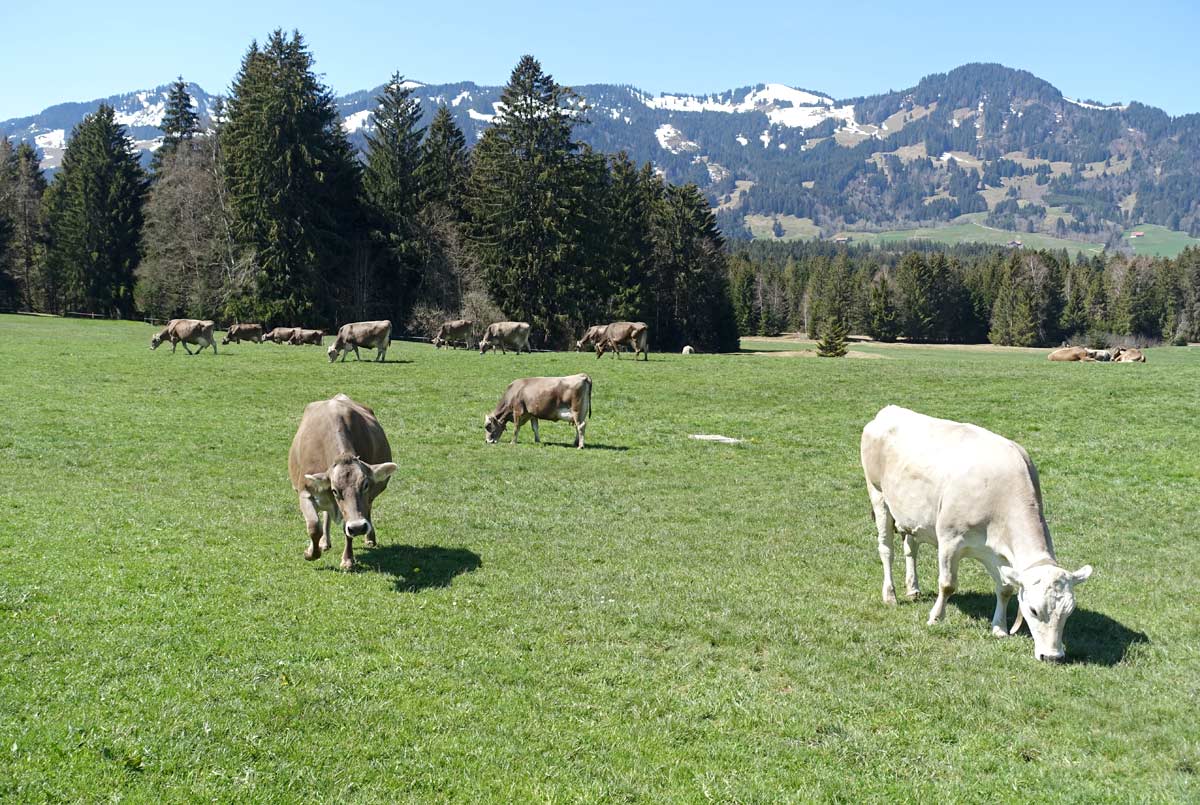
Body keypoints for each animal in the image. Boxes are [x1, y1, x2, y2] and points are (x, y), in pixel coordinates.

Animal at [287, 394, 398, 570]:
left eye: (365, 485)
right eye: (334, 490)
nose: (359, 527)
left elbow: (347, 530)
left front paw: (347, 559)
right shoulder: (305, 491)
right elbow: (314, 526)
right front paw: (311, 553)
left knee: (367, 510)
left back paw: (370, 538)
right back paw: (324, 542)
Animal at [861, 405, 1093, 662]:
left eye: (1069, 611)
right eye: (1033, 610)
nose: (1052, 656)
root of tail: (889, 410)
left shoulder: (996, 554)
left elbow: (1005, 588)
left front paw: (1000, 628)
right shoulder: (950, 539)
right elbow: (947, 584)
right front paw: (936, 618)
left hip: (911, 515)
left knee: (911, 548)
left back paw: (913, 588)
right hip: (878, 495)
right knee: (886, 550)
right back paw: (890, 595)